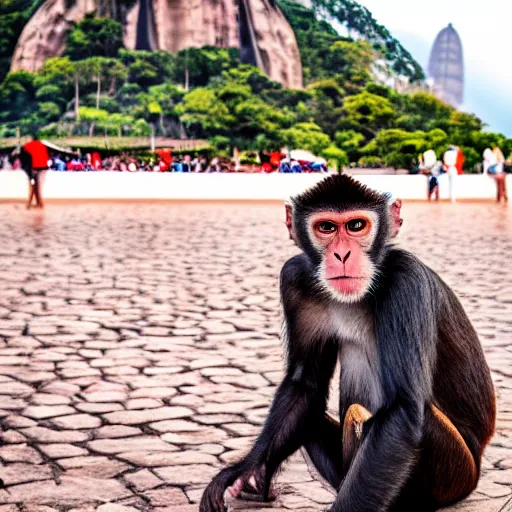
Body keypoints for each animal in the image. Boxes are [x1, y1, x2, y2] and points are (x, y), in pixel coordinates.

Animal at [201, 174, 496, 510]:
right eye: (326, 227)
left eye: (356, 226)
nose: (342, 255)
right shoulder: (295, 279)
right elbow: (306, 383)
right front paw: (246, 470)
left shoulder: (406, 280)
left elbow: (403, 410)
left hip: (456, 473)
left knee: (361, 414)